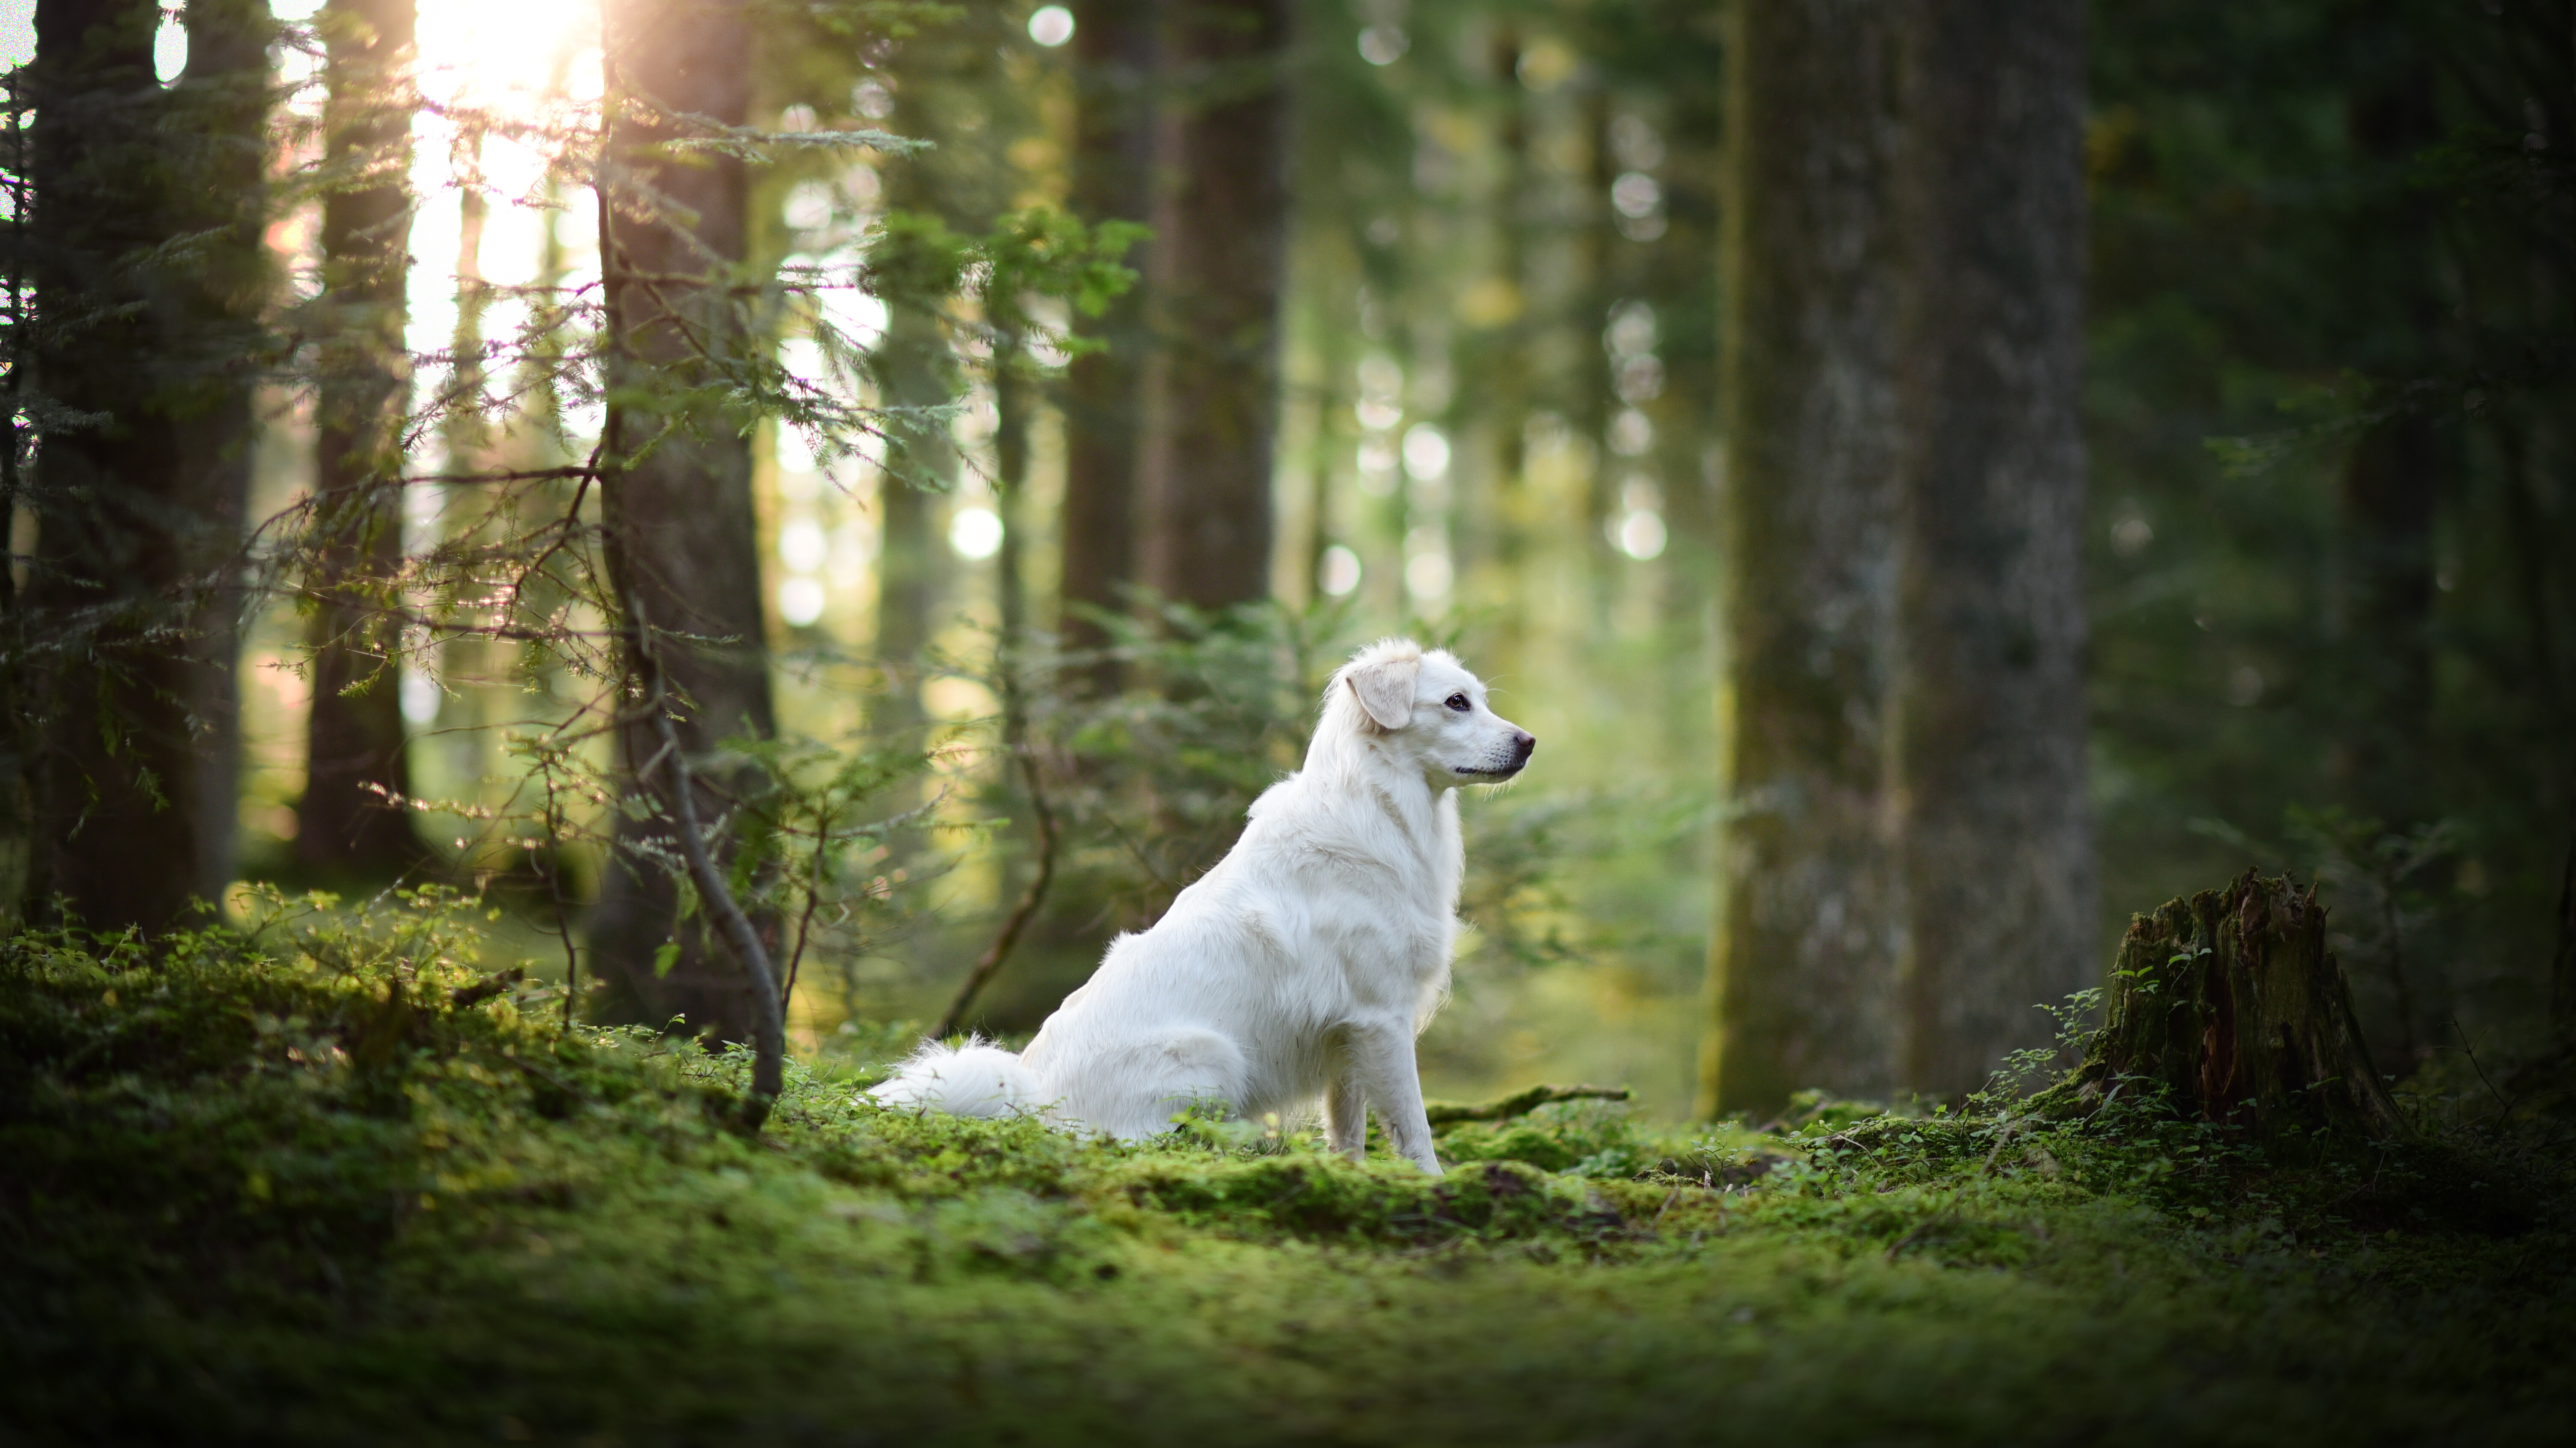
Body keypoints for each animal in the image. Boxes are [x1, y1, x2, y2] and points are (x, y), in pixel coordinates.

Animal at [876, 636, 1535, 1165]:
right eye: (1456, 703)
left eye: (1480, 699)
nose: (1530, 741)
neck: (1380, 804)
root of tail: (1033, 1100)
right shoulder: (1382, 1018)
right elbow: (1413, 1128)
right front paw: (1431, 1183)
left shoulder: (1345, 1034)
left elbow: (1347, 1130)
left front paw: (1353, 1178)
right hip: (1213, 1057)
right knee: (1131, 1141)